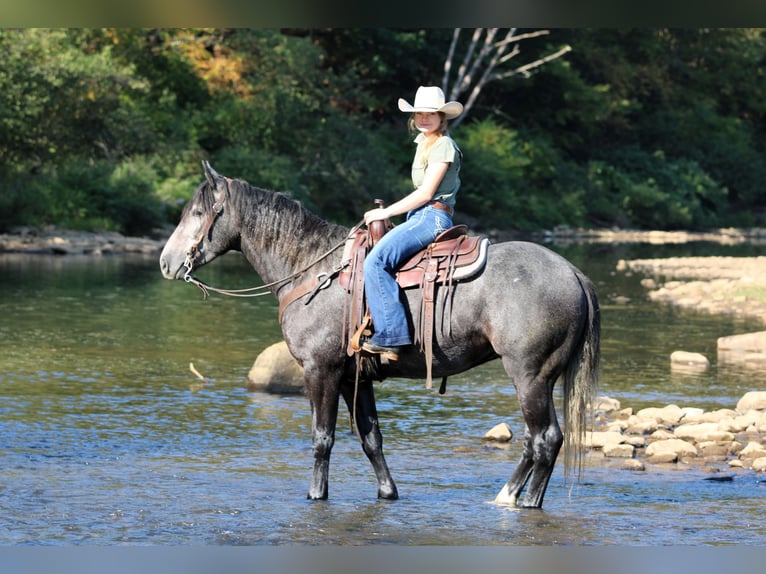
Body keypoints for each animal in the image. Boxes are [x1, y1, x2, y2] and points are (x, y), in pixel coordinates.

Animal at [159, 161, 600, 508]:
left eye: (197, 212)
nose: (166, 262)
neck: (310, 269)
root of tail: (573, 272)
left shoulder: (321, 370)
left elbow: (322, 438)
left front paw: (315, 495)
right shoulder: (354, 376)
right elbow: (372, 437)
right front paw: (388, 492)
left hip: (530, 375)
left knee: (545, 439)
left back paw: (523, 500)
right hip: (539, 379)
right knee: (534, 439)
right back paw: (507, 496)